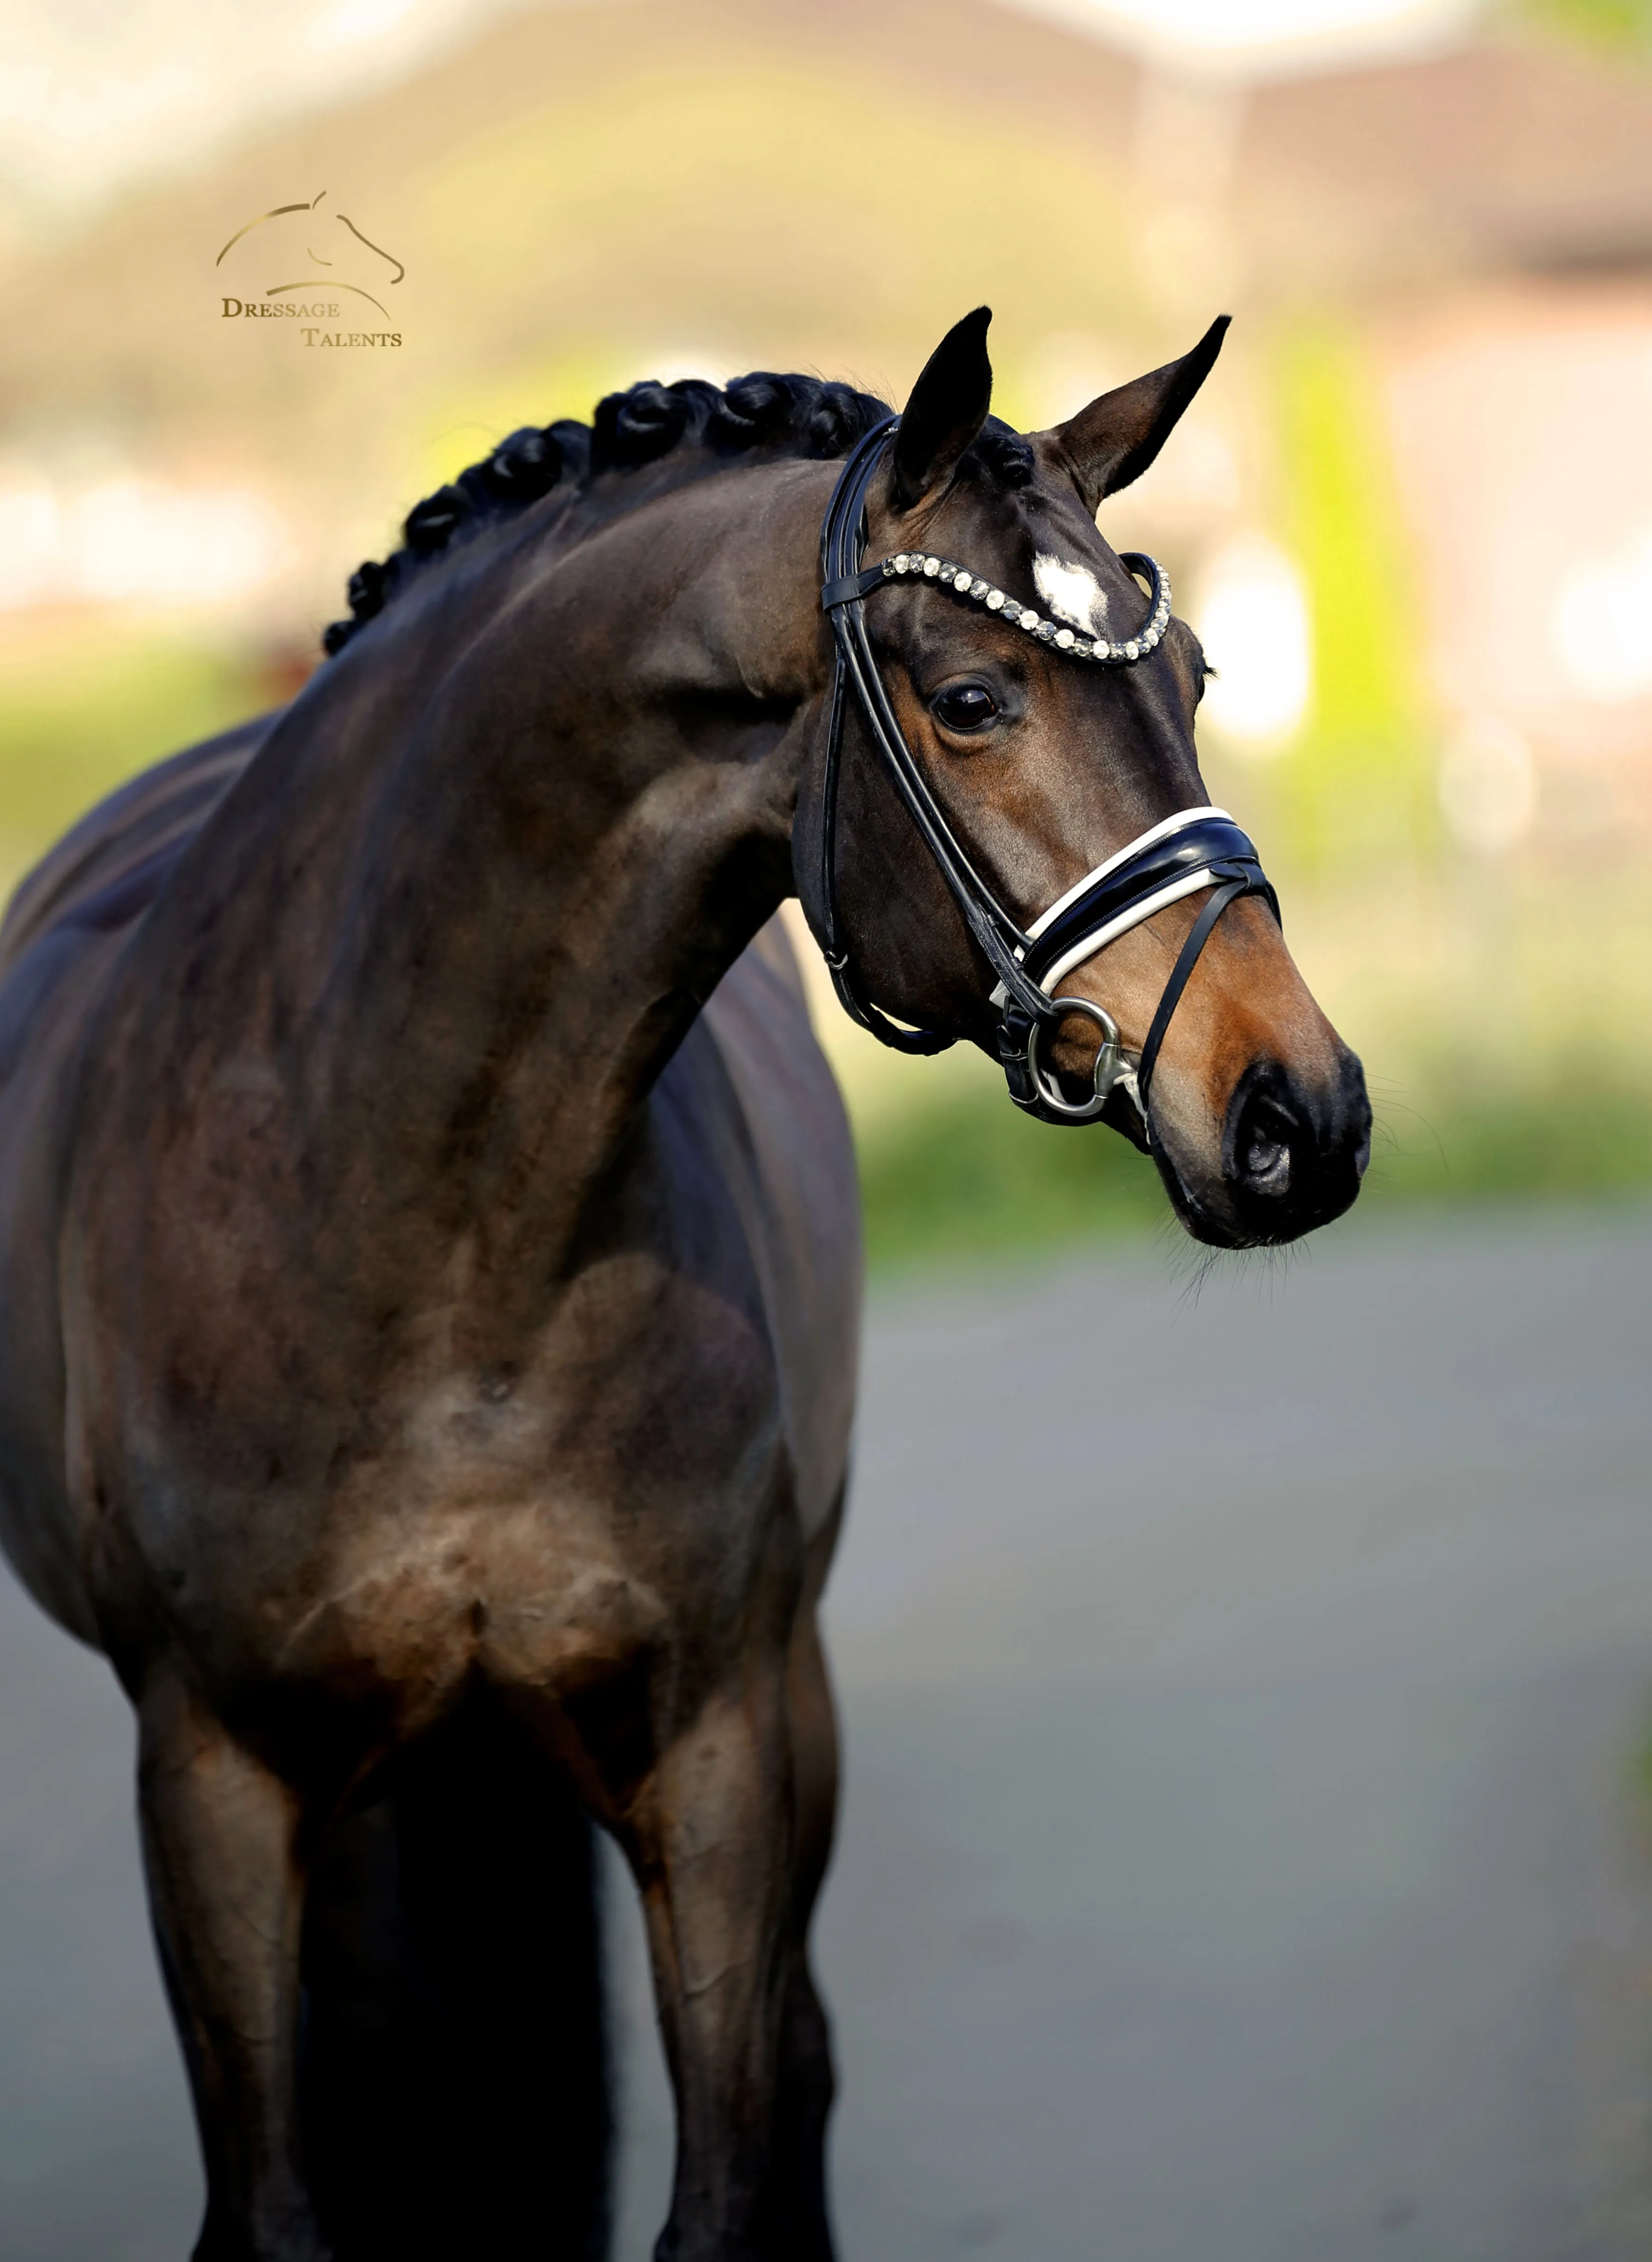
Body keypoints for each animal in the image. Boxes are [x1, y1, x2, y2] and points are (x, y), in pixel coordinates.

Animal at [0, 307, 1369, 2261]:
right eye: (972, 699)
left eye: (1192, 675)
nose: (1297, 1115)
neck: (432, 1247)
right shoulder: (213, 1777)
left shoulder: (717, 1754)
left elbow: (728, 2171)